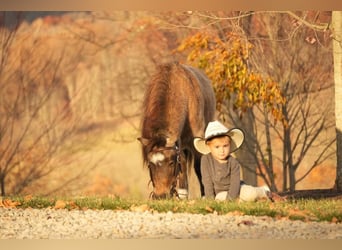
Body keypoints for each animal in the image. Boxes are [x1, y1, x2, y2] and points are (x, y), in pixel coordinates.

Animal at [138, 62, 215, 199]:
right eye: (150, 164)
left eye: (171, 163)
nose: (160, 196)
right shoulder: (178, 147)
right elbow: (182, 166)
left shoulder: (197, 141)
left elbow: (199, 166)